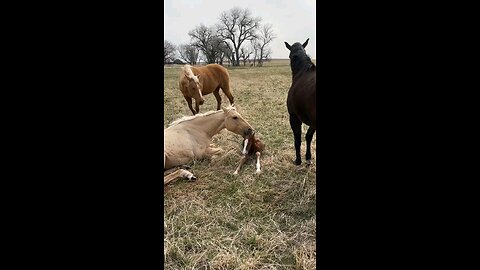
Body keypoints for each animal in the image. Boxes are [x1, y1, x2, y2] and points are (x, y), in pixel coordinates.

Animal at [284, 37, 316, 165]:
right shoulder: (313, 122)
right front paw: (308, 157)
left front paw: (298, 160)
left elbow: (297, 139)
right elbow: (308, 136)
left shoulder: (294, 117)